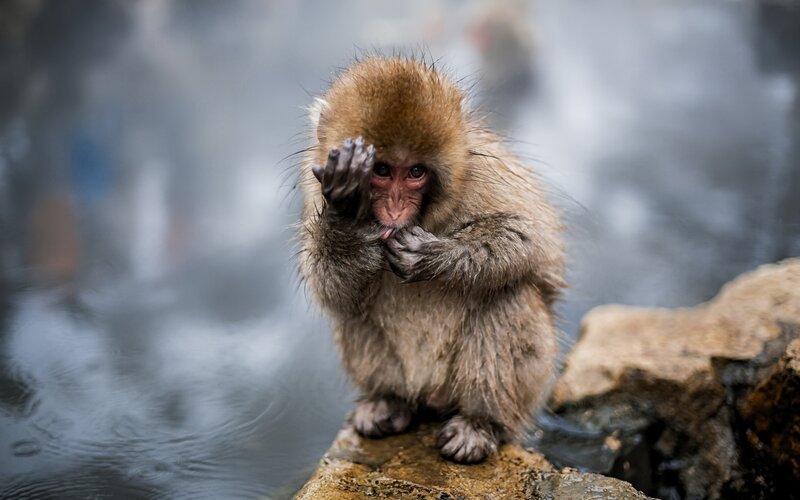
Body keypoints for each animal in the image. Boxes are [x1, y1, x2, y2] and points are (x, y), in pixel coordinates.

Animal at [297, 56, 565, 464]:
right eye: (381, 171)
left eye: (416, 172)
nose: (395, 209)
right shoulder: (316, 187)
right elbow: (331, 287)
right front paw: (345, 211)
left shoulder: (485, 176)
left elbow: (529, 238)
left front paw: (430, 256)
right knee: (353, 312)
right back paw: (389, 401)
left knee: (511, 294)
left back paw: (481, 423)